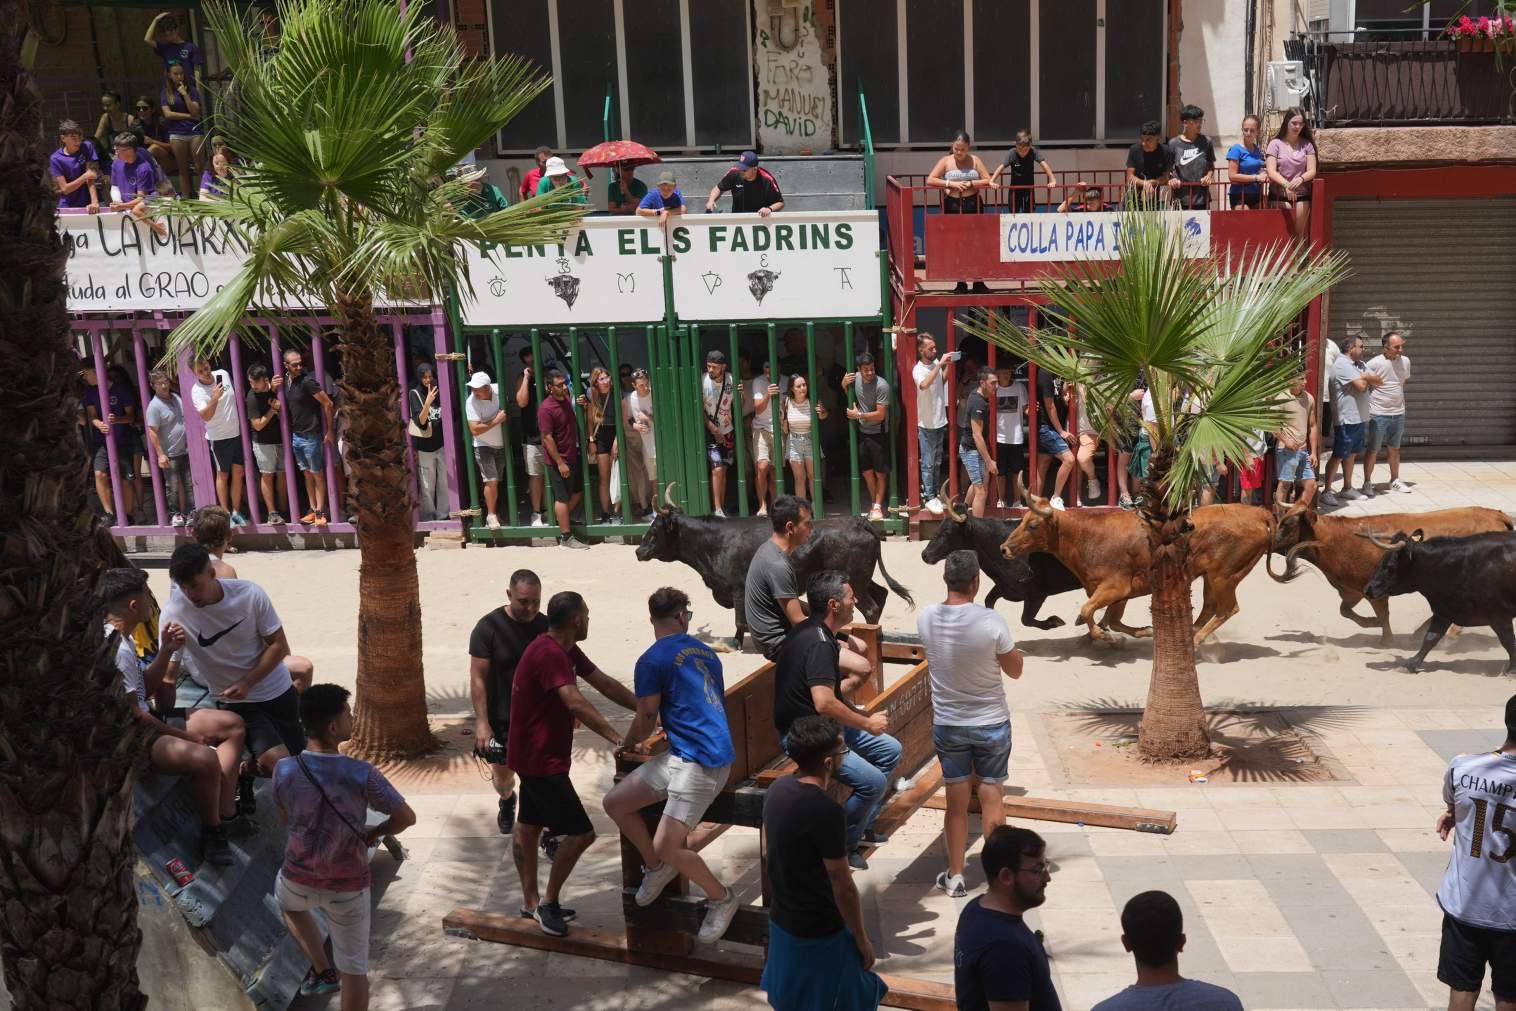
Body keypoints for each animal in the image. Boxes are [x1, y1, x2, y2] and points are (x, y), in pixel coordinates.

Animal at [630, 485, 909, 645]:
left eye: (655, 528)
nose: (638, 551)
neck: (716, 541)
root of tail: (858, 521)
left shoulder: (738, 588)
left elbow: (741, 622)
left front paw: (736, 643)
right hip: (861, 579)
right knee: (881, 594)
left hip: (855, 581)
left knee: (871, 607)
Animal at [915, 485, 1085, 627]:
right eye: (939, 527)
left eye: (947, 532)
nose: (925, 555)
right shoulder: (1003, 587)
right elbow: (988, 601)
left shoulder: (1036, 595)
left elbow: (1026, 619)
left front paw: (1055, 621)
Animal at [1006, 475, 1279, 648]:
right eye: (1022, 521)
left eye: (1032, 525)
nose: (1004, 548)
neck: (1087, 536)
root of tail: (1258, 513)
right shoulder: (1119, 594)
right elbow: (1112, 620)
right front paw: (1137, 632)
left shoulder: (1115, 588)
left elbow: (1088, 611)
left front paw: (1104, 636)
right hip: (1211, 577)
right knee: (1211, 607)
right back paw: (1188, 634)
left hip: (1224, 576)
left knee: (1227, 608)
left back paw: (1195, 640)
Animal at [1261, 503, 1509, 645]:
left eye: (1287, 524)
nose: (1270, 540)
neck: (1335, 540)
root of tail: (1498, 516)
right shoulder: (1353, 590)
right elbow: (1345, 611)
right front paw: (1372, 625)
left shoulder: (1374, 590)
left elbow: (1382, 614)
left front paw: (1385, 638)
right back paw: (1419, 634)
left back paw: (1448, 636)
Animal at [1364, 527, 1516, 676]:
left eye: (1389, 566)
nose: (1368, 589)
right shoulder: (1444, 611)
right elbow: (1430, 638)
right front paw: (1410, 665)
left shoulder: (1499, 616)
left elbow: (1508, 641)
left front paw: (1511, 670)